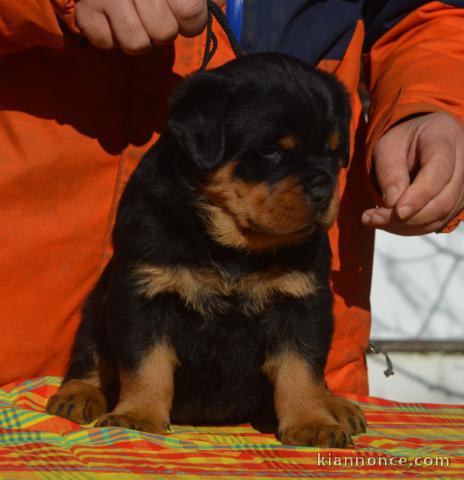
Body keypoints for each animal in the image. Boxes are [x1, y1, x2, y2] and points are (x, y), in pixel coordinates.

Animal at [47, 51, 366, 446]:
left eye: (333, 153)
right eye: (272, 151)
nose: (324, 190)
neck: (232, 245)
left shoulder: (304, 303)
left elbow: (301, 369)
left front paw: (313, 423)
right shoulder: (141, 295)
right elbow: (145, 364)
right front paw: (138, 416)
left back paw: (336, 405)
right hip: (96, 306)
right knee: (90, 354)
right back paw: (78, 394)